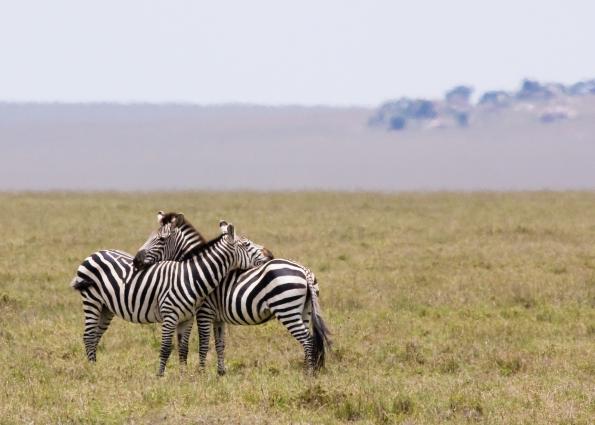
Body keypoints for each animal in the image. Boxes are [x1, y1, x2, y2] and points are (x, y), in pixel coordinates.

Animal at [71, 219, 274, 374]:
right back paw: (92, 370)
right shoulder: (174, 315)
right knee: (88, 335)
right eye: (246, 244)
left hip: (106, 308)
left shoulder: (187, 318)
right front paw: (160, 375)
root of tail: (94, 253)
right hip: (92, 301)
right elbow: (168, 347)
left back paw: (95, 366)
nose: (270, 255)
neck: (191, 277)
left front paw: (183, 374)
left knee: (96, 336)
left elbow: (183, 348)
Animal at [139, 212, 332, 374]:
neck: (197, 271)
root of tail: (304, 271)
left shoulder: (204, 312)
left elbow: (203, 344)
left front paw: (201, 373)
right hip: (305, 311)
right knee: (310, 340)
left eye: (160, 239)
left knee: (307, 340)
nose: (137, 260)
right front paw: (220, 373)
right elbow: (220, 344)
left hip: (286, 309)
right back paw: (308, 370)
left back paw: (308, 374)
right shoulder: (217, 317)